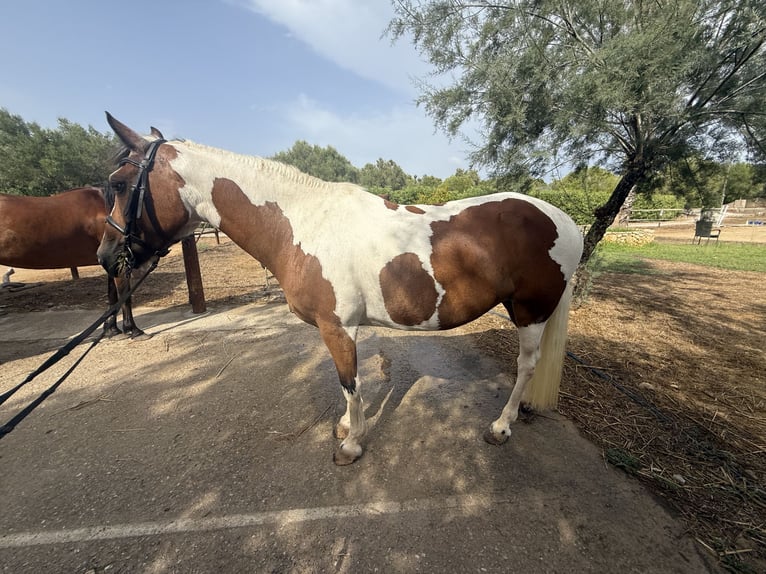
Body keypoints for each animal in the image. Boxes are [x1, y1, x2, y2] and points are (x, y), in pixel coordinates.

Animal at [97, 113, 584, 465]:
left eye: (119, 185)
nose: (106, 255)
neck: (302, 224)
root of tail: (564, 220)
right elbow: (347, 386)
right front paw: (350, 429)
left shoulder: (337, 327)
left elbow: (349, 382)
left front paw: (351, 445)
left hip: (531, 311)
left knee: (525, 367)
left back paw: (501, 426)